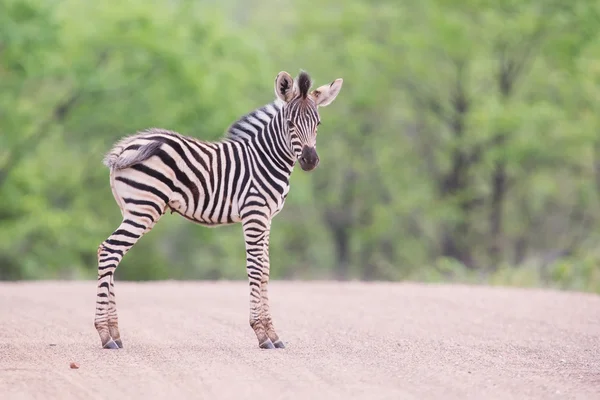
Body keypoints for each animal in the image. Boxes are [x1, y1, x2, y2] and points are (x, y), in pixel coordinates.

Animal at [96, 71, 344, 350]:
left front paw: (273, 335)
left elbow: (266, 269)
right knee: (109, 251)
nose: (310, 161)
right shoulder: (254, 214)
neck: (266, 158)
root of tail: (125, 147)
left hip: (131, 209)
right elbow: (256, 268)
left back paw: (115, 334)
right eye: (290, 123)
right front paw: (262, 335)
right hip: (143, 209)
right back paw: (105, 336)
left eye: (318, 123)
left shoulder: (267, 218)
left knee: (112, 255)